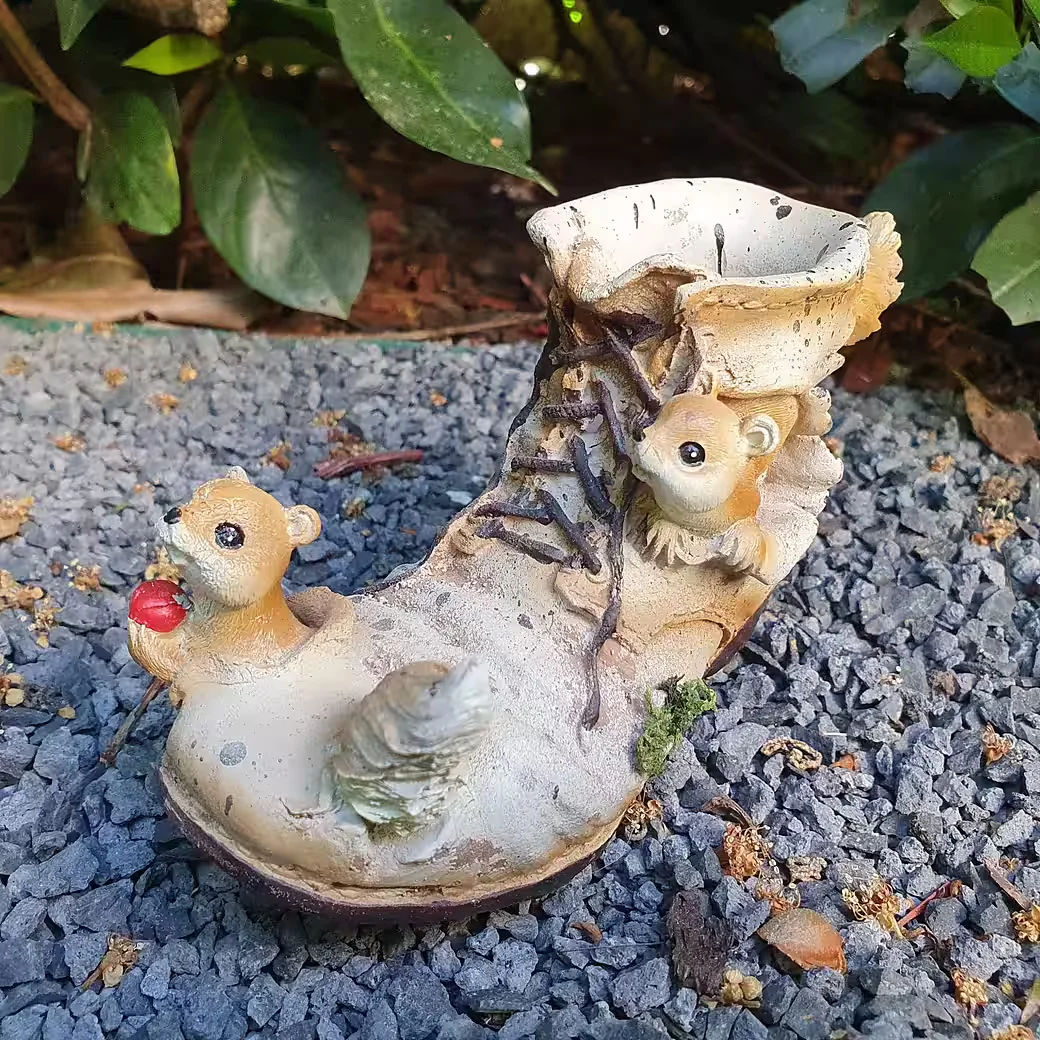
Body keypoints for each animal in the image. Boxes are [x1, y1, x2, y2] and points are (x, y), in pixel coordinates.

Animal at [629, 375, 833, 581]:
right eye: (659, 417)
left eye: (692, 454)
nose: (639, 433)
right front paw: (667, 532)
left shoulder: (748, 497)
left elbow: (750, 518)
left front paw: (747, 541)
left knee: (817, 422)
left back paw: (818, 400)